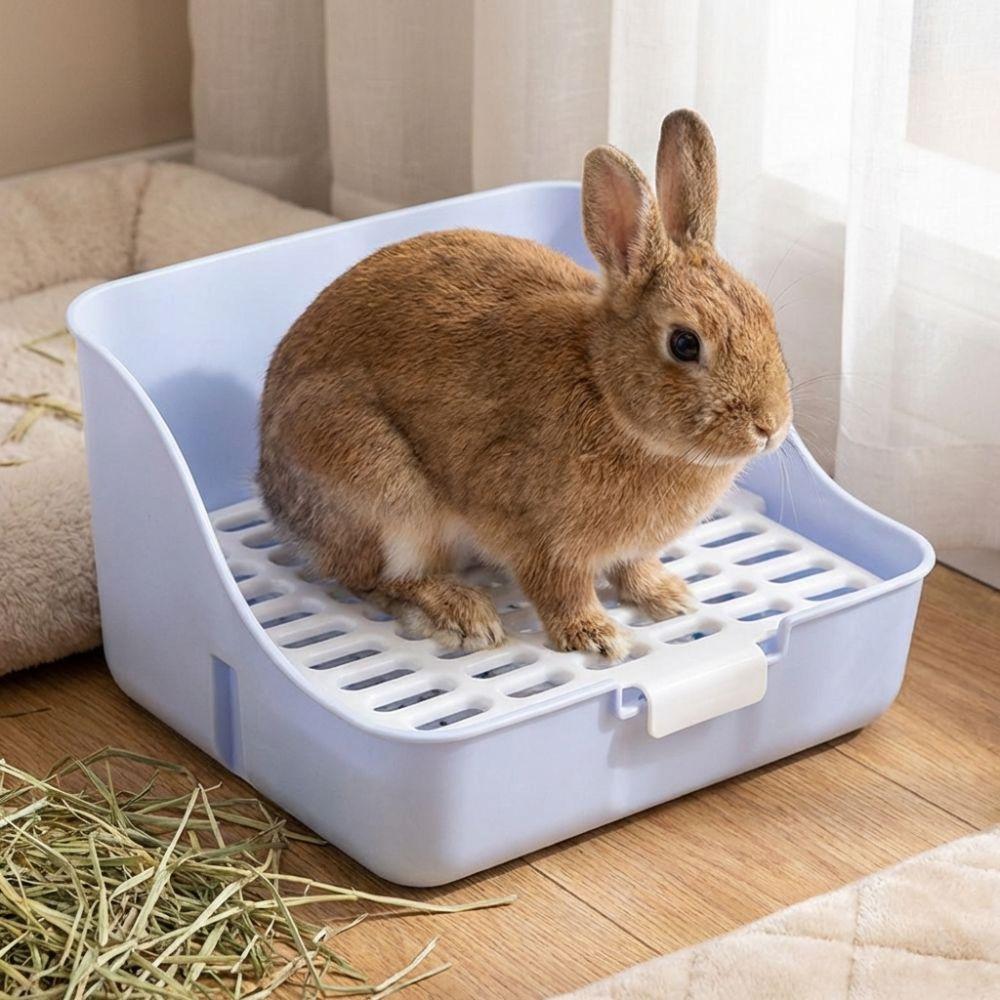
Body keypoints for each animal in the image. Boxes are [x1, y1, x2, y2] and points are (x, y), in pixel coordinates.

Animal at [259, 110, 791, 661]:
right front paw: (595, 636)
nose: (770, 427)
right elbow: (560, 588)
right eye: (685, 343)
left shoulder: (628, 549)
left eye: (767, 315)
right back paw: (464, 616)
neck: (603, 386)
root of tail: (274, 494)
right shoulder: (540, 539)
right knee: (379, 579)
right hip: (385, 493)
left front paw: (668, 597)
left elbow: (633, 568)